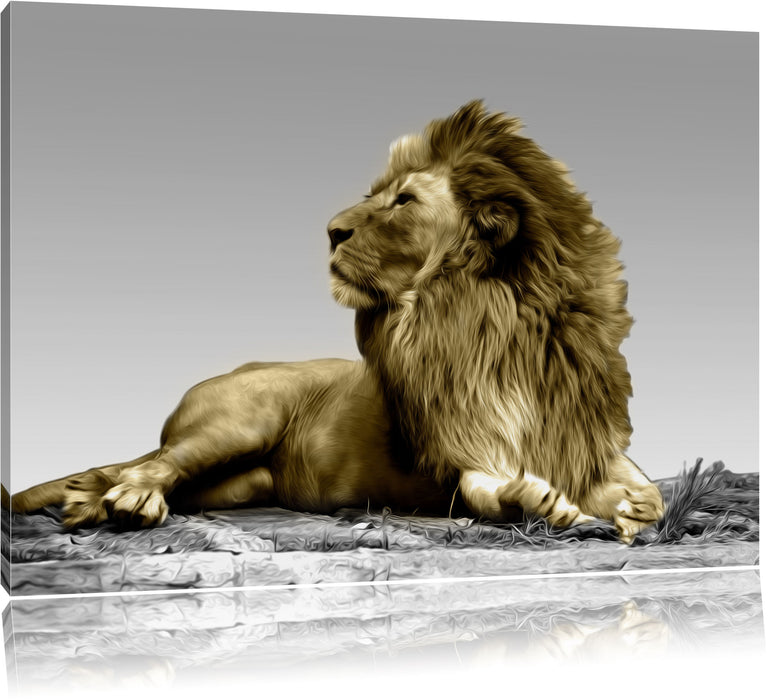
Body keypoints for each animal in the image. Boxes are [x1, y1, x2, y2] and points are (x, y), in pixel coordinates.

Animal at [13, 101, 664, 543]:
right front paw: (537, 499)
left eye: (404, 201)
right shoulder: (458, 452)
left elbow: (643, 488)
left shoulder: (580, 437)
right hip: (238, 421)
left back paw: (90, 497)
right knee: (150, 464)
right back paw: (128, 500)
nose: (331, 230)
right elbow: (487, 489)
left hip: (245, 482)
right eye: (377, 194)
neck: (494, 321)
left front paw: (633, 504)